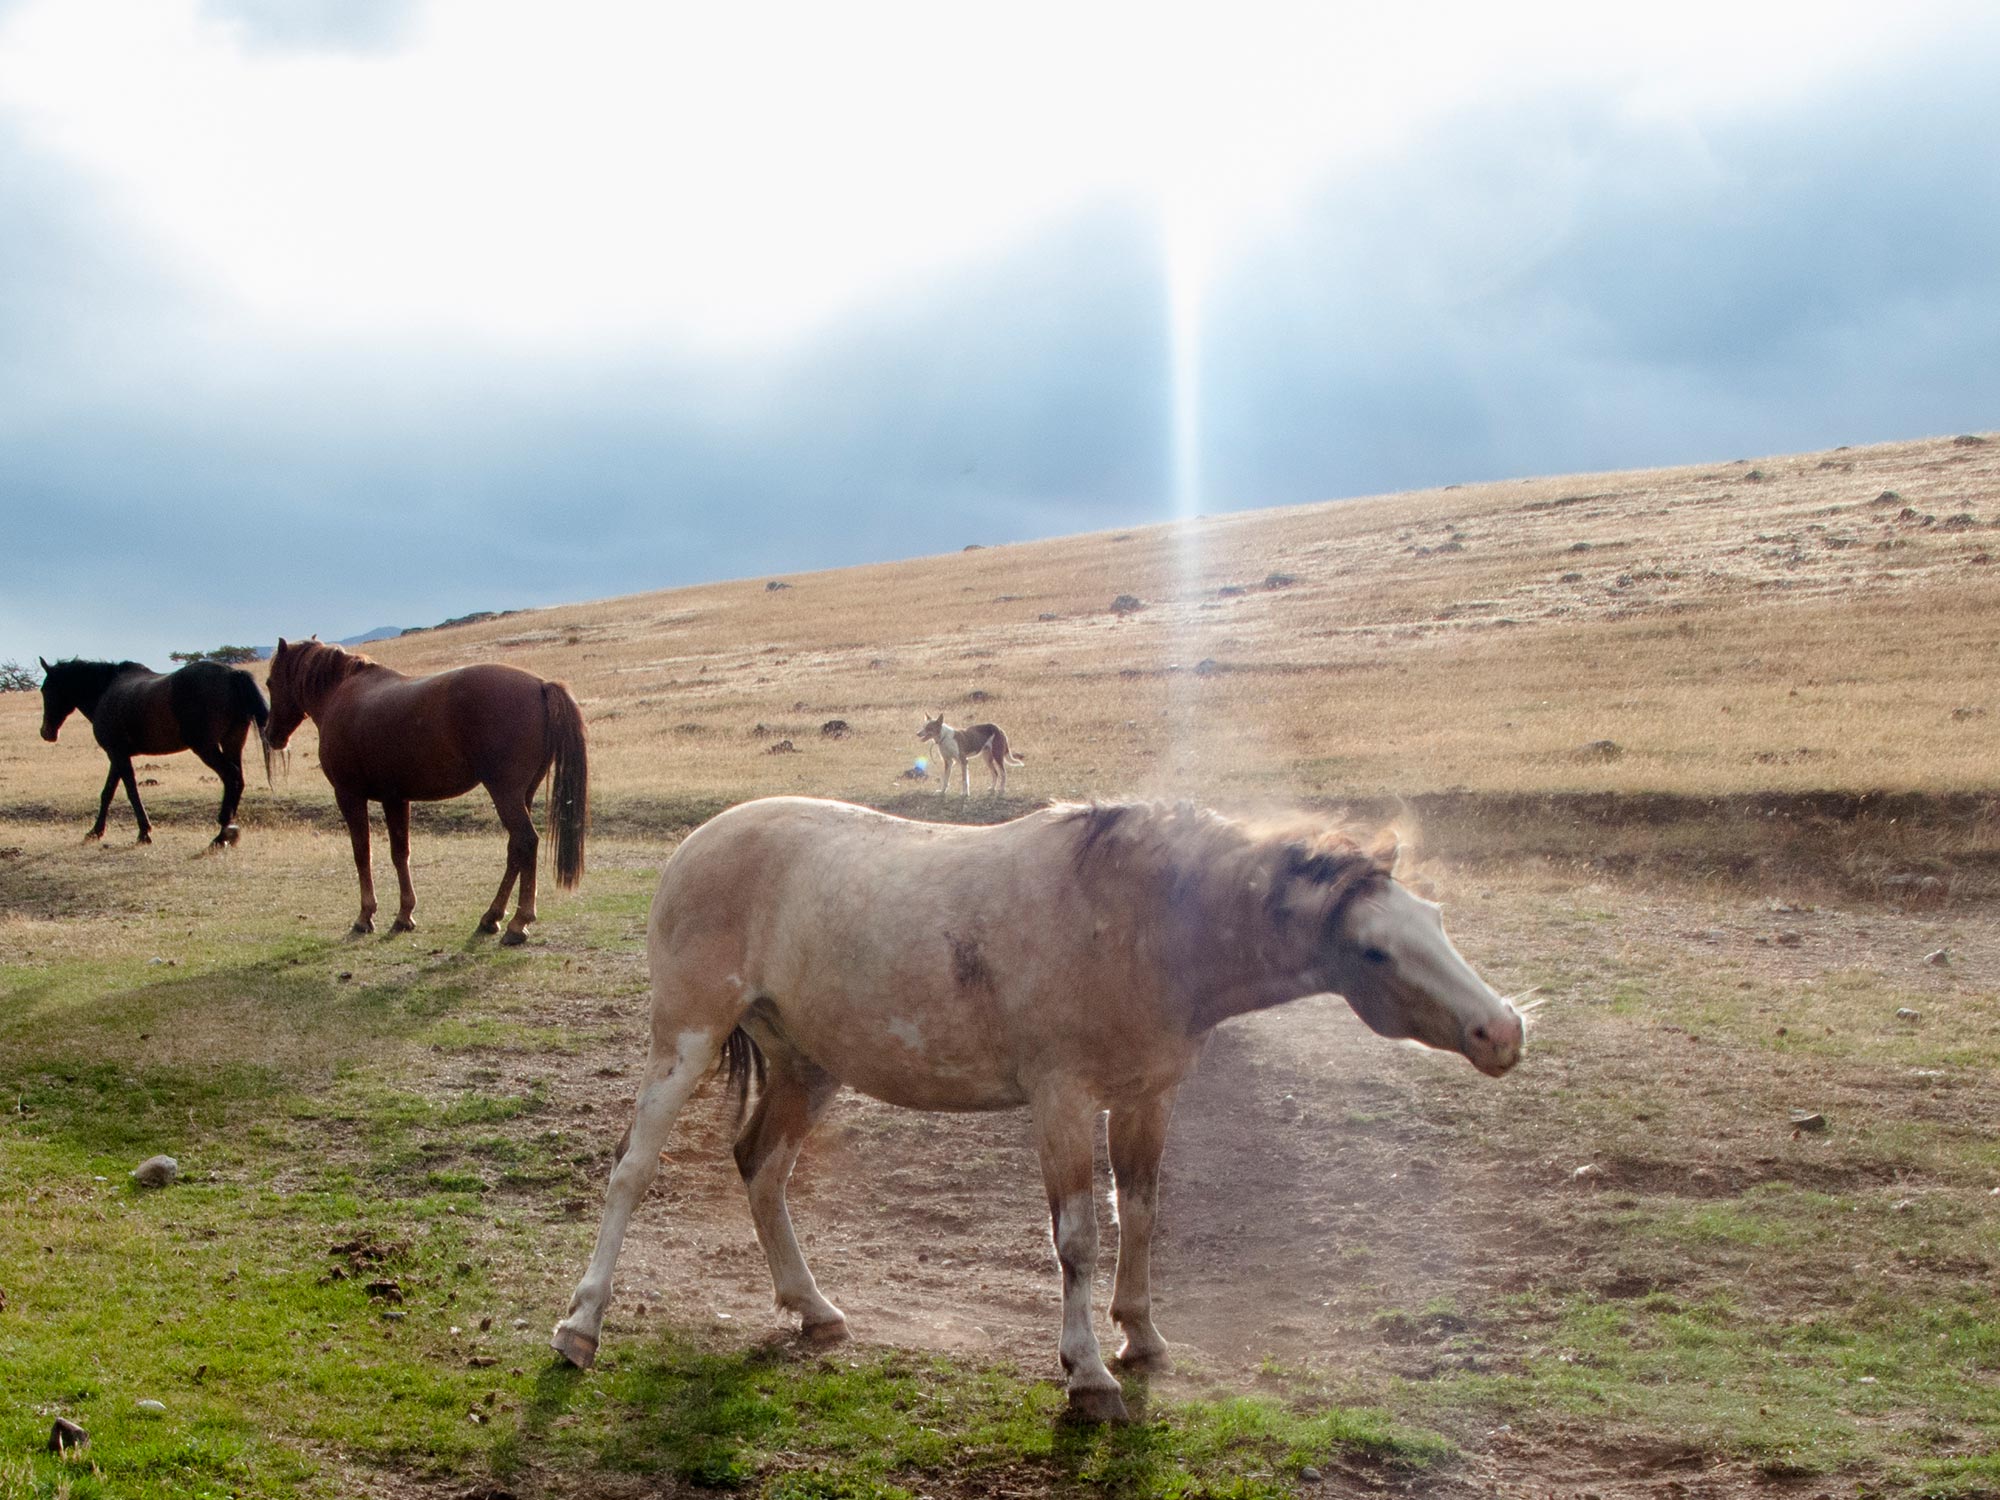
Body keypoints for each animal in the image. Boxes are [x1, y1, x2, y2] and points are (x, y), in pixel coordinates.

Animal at [38, 656, 274, 848]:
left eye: (46, 690)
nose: (46, 732)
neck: (105, 691)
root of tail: (233, 675)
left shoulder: (117, 753)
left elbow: (131, 791)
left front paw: (144, 832)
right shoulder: (118, 755)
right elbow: (108, 793)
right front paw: (95, 831)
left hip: (206, 748)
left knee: (231, 776)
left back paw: (222, 834)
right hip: (232, 742)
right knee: (238, 780)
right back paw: (227, 832)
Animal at [264, 640, 584, 944]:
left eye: (268, 682)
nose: (270, 735)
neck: (340, 693)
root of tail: (540, 684)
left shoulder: (349, 796)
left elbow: (362, 853)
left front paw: (366, 916)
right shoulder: (395, 799)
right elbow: (400, 853)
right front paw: (404, 915)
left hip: (505, 794)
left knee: (526, 842)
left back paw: (518, 924)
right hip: (522, 794)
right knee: (515, 849)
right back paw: (491, 917)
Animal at [556, 800, 1520, 1424]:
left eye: (1436, 916)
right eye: (1375, 949)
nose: (1502, 1030)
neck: (1139, 924)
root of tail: (699, 842)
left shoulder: (1146, 1098)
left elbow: (1143, 1212)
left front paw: (1142, 1337)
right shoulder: (1063, 1100)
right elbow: (1079, 1238)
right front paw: (1089, 1374)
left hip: (808, 1064)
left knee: (763, 1168)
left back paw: (814, 1307)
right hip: (684, 1040)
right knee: (632, 1171)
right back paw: (580, 1326)